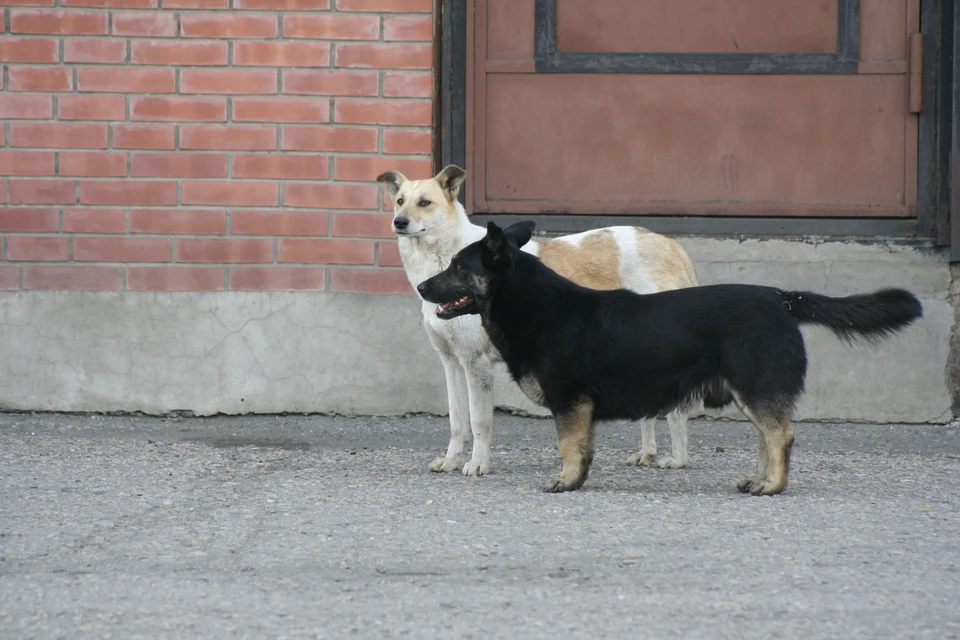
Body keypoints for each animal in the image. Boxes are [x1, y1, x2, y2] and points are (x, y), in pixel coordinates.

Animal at [376, 165, 696, 476]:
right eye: (400, 201)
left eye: (425, 203)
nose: (399, 222)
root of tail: (672, 245)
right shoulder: (452, 363)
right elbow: (457, 422)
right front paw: (450, 462)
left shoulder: (477, 365)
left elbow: (479, 422)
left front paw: (478, 464)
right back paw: (647, 454)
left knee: (677, 410)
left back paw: (679, 459)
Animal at [418, 222, 924, 498]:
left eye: (458, 268)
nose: (421, 288)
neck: (536, 304)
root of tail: (781, 298)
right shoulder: (579, 409)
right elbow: (582, 449)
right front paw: (576, 479)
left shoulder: (570, 404)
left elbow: (568, 447)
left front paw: (564, 481)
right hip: (751, 392)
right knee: (768, 437)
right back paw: (758, 479)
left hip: (755, 388)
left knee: (780, 436)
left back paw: (772, 487)